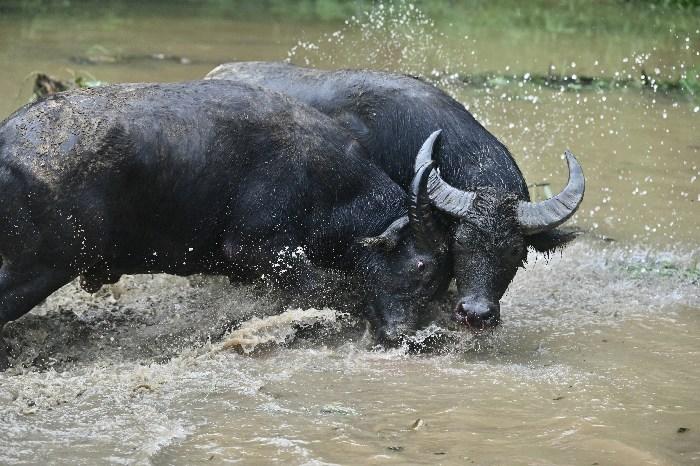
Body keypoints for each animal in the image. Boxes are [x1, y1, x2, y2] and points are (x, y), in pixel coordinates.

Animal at [0, 80, 454, 366]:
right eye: (421, 267)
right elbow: (321, 289)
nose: (405, 337)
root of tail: (6, 141)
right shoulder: (260, 249)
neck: (325, 180)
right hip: (37, 269)